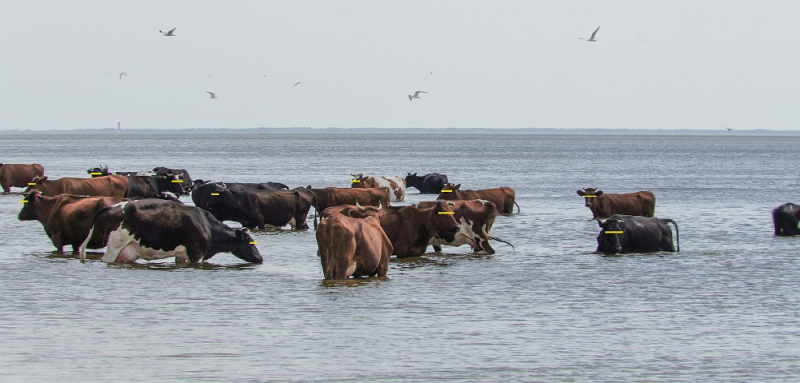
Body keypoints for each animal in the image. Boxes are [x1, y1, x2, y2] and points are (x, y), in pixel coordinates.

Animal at [80, 198, 264, 264]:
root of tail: (113, 206)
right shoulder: (197, 254)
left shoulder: (182, 255)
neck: (208, 227)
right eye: (251, 242)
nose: (260, 258)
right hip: (113, 247)